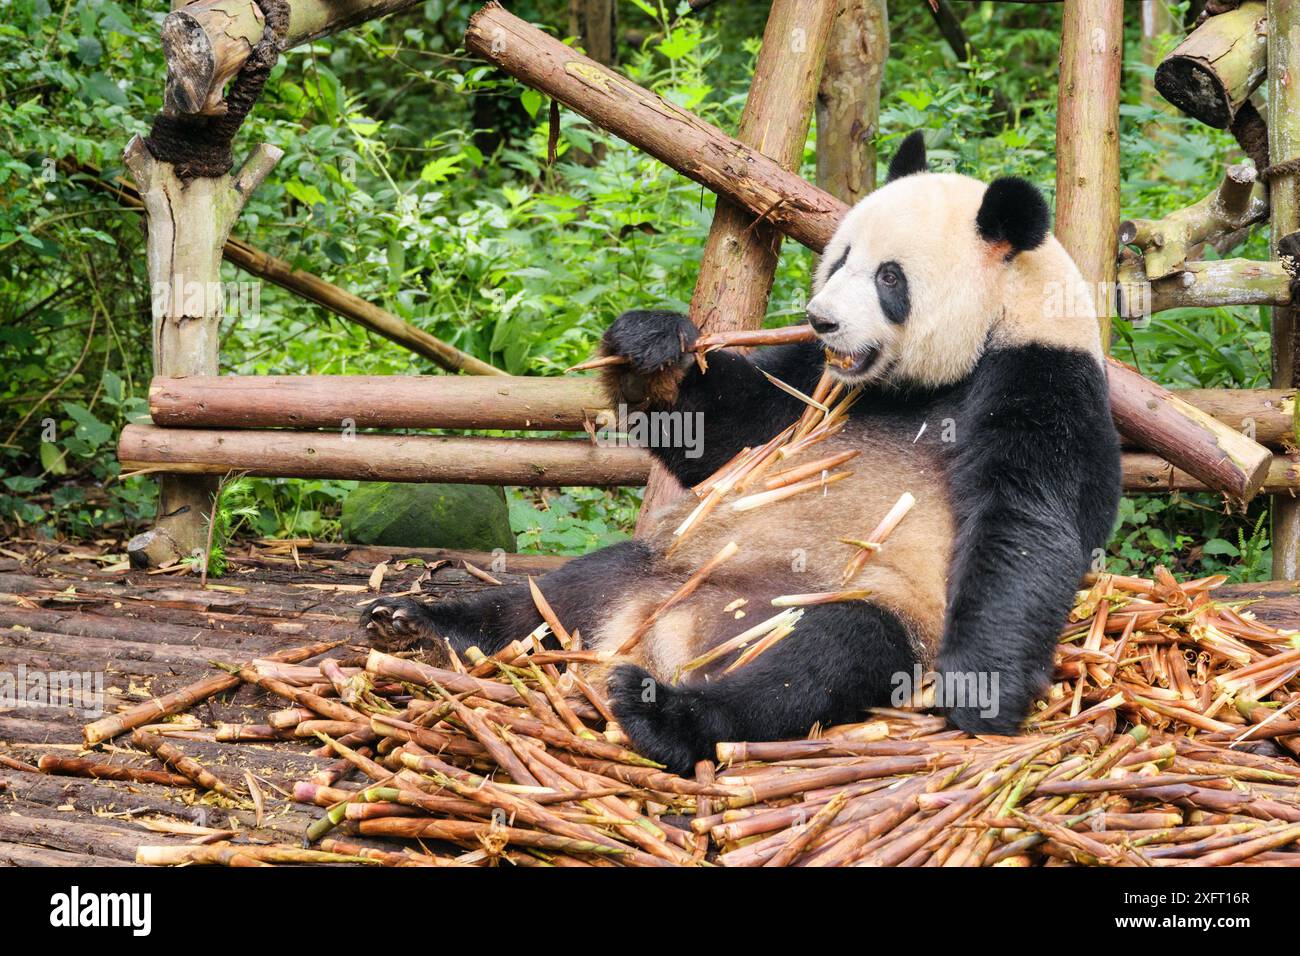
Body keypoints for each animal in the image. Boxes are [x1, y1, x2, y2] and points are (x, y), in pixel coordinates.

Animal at [361, 132, 1122, 775]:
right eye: (839, 257)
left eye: (890, 279)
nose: (821, 319)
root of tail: (661, 635)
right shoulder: (817, 387)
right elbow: (729, 434)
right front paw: (651, 346)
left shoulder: (1041, 378)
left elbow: (1025, 524)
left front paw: (980, 694)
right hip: (661, 566)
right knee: (553, 597)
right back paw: (421, 625)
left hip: (854, 607)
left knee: (816, 660)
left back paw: (664, 714)